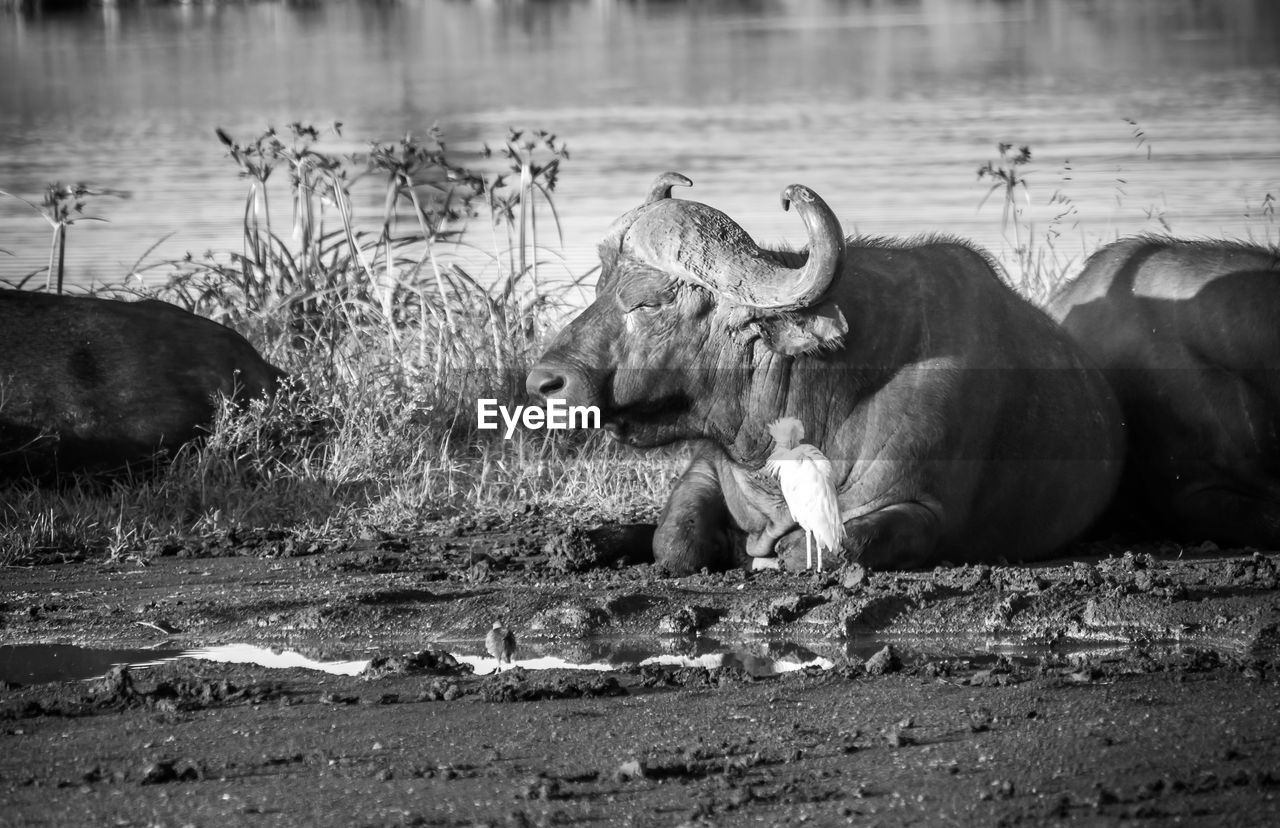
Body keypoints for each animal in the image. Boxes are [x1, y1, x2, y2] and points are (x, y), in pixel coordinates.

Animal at [524, 175, 1126, 573]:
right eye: (599, 287)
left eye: (646, 302)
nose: (544, 384)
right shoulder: (706, 469)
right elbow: (672, 541)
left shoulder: (924, 510)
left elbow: (813, 548)